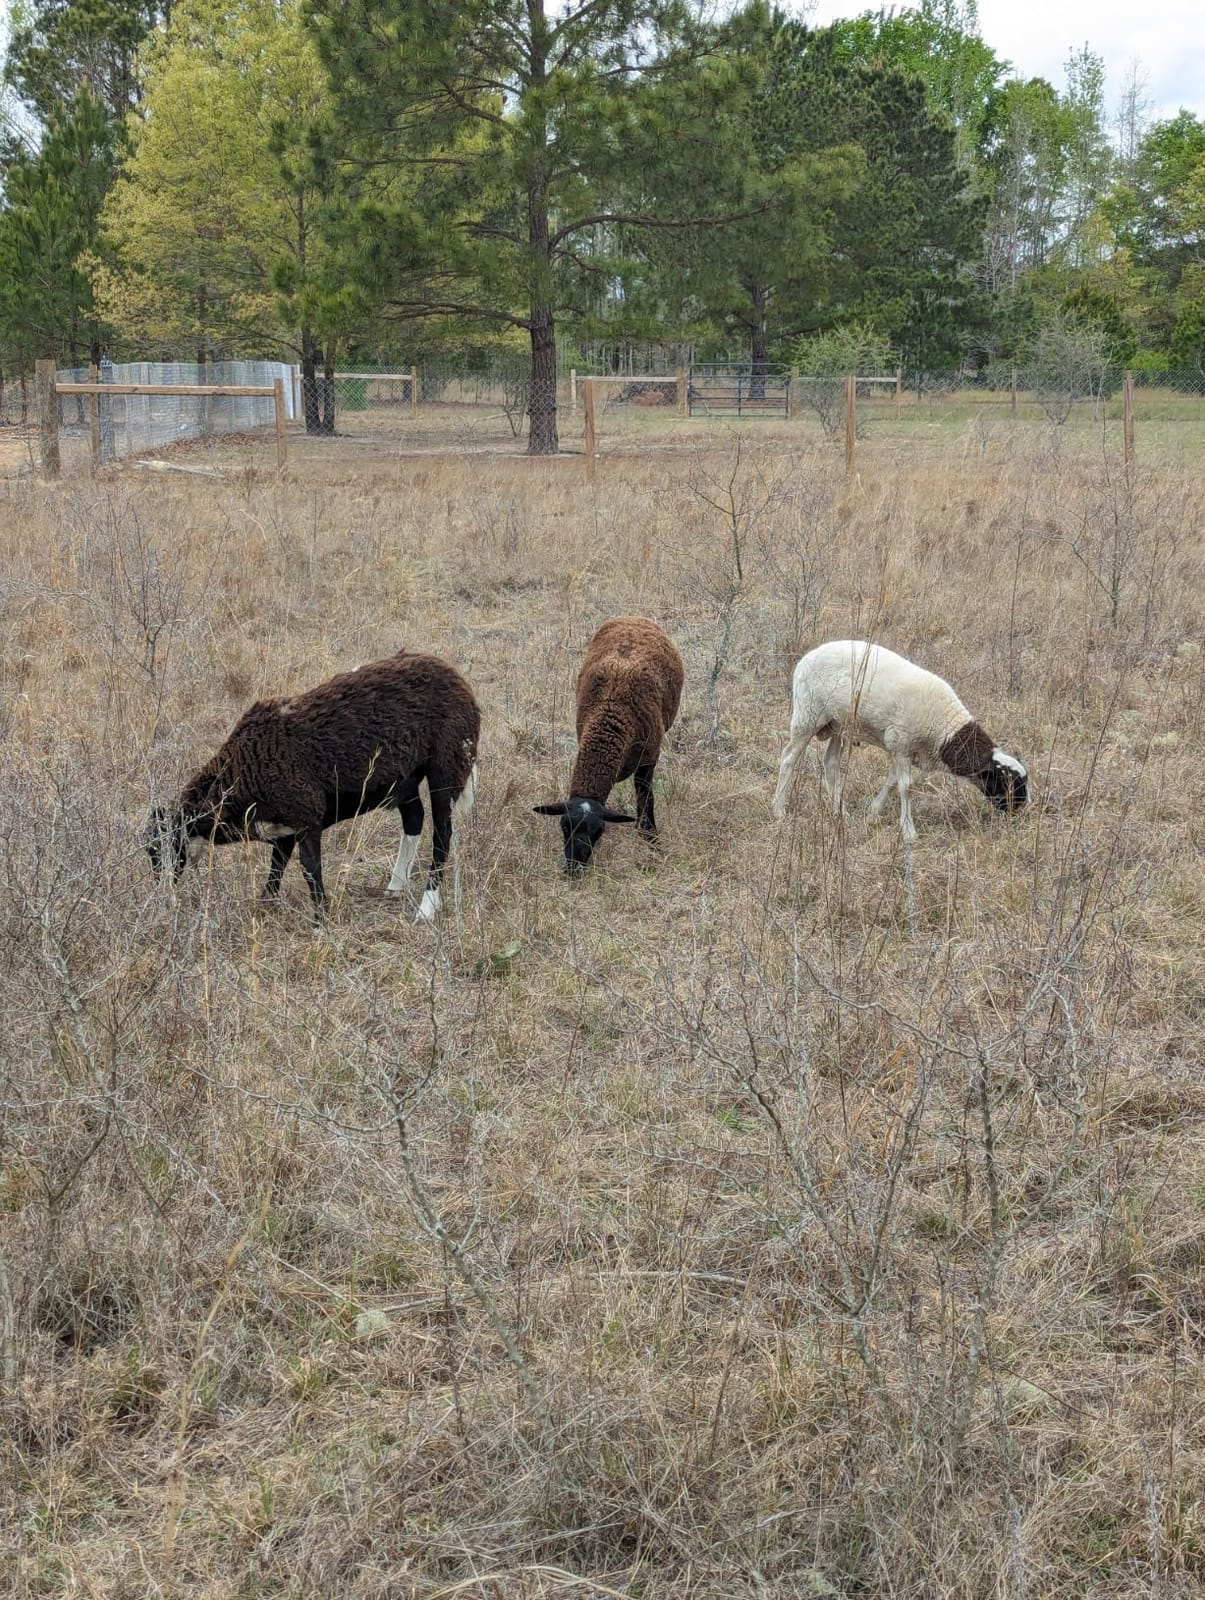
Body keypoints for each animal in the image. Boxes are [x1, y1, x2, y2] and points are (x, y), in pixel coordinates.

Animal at [147, 650, 480, 922]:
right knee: (414, 819)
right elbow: (277, 865)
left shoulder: (306, 815)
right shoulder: (285, 825)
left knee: (442, 834)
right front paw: (266, 906)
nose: (161, 899)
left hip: (447, 765)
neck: (243, 768)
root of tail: (455, 676)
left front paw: (321, 920)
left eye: (160, 850)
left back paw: (427, 906)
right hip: (405, 778)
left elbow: (309, 869)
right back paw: (395, 886)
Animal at [534, 616, 684, 874]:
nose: (574, 869)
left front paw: (650, 837)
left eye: (599, 831)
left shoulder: (649, 756)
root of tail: (634, 617)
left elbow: (645, 796)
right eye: (564, 826)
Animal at [771, 640, 1028, 842]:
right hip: (808, 715)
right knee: (789, 758)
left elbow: (892, 780)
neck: (944, 729)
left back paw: (840, 812)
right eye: (1007, 782)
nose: (1021, 810)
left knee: (831, 763)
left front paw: (874, 811)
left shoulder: (902, 750)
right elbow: (906, 787)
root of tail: (805, 658)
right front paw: (908, 831)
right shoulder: (901, 742)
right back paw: (779, 809)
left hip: (838, 725)